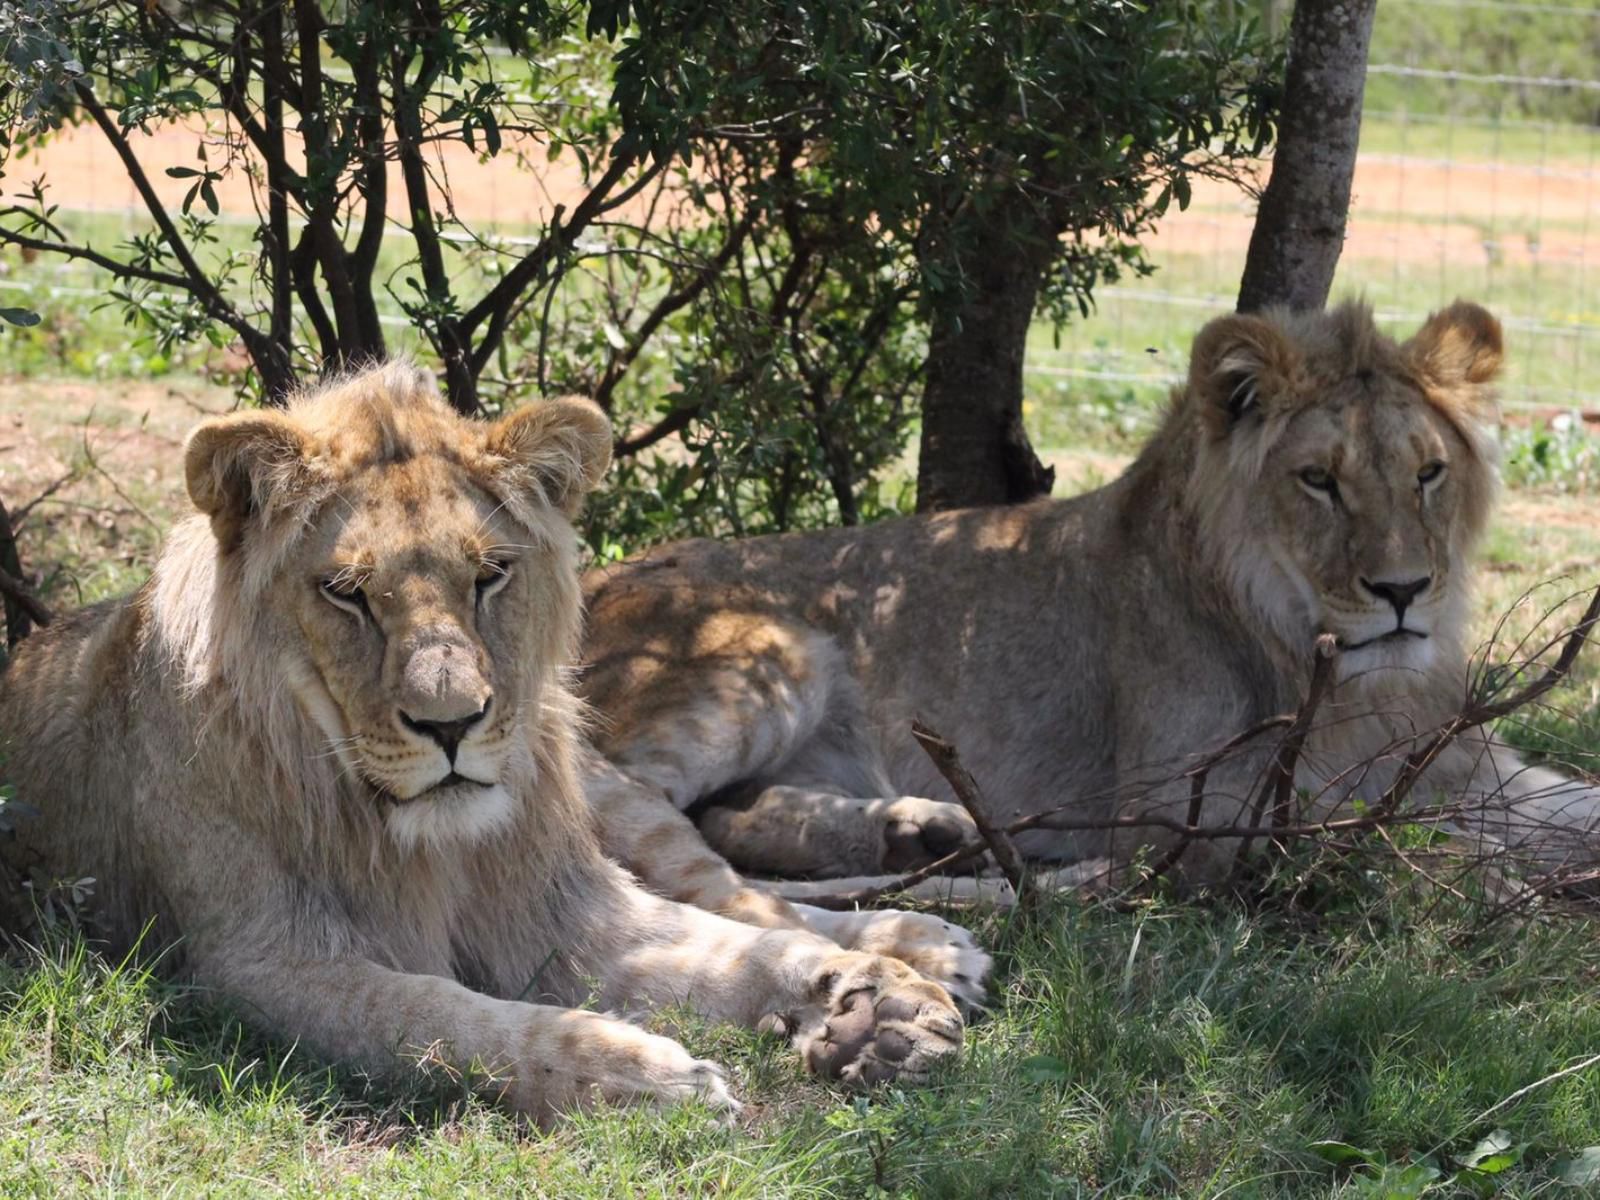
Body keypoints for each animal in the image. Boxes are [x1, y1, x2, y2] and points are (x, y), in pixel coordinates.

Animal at [0, 366, 972, 1126]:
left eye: (490, 574)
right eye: (347, 592)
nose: (452, 723)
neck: (424, 845)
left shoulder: (569, 911)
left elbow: (736, 946)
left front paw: (869, 992)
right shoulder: (252, 964)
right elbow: (440, 1015)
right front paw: (645, 1078)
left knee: (734, 887)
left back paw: (924, 937)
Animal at [582, 302, 1600, 921]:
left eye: (1428, 472)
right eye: (1319, 480)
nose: (1402, 592)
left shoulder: (1467, 766)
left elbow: (1566, 804)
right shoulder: (1195, 811)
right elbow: (1409, 848)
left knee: (723, 813)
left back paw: (930, 834)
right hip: (765, 648)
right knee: (624, 814)